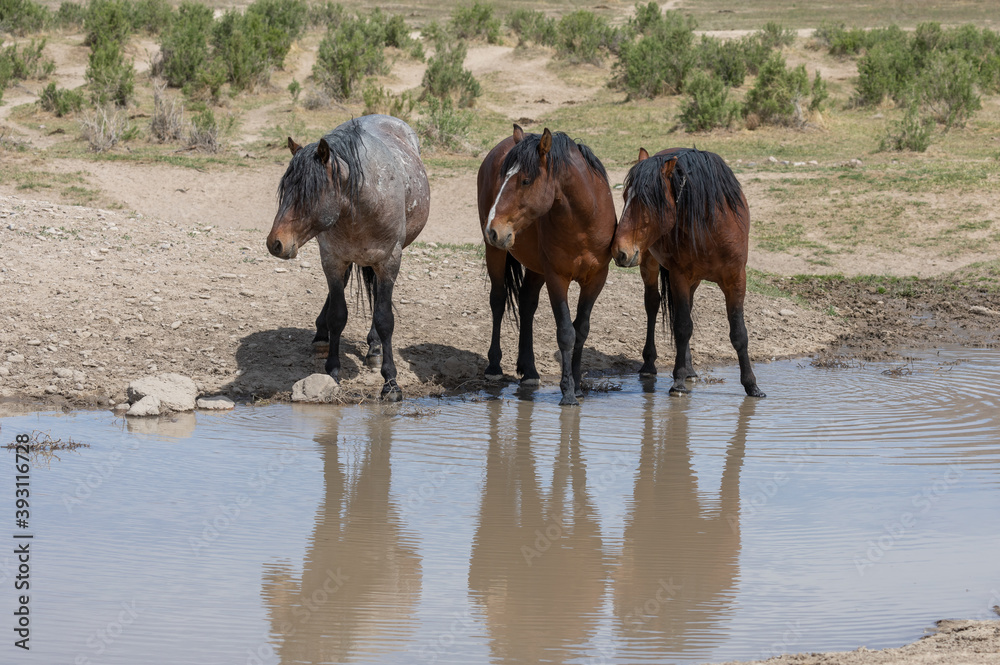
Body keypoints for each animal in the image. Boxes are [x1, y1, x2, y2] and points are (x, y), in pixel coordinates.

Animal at [266, 114, 430, 401]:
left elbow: (385, 319)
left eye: (309, 193)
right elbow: (337, 315)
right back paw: (322, 336)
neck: (360, 205)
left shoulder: (389, 262)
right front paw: (332, 371)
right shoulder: (332, 260)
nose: (276, 243)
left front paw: (390, 382)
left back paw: (374, 349)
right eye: (284, 190)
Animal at [478, 124, 617, 406]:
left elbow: (581, 330)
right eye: (504, 179)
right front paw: (567, 392)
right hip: (495, 252)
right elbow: (566, 332)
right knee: (498, 299)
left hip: (535, 267)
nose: (493, 229)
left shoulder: (596, 278)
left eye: (525, 180)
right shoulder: (557, 277)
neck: (584, 222)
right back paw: (494, 367)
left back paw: (529, 370)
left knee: (527, 303)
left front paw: (577, 387)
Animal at [611, 147, 766, 398]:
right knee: (653, 304)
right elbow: (682, 327)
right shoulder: (679, 277)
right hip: (650, 264)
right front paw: (678, 381)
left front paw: (752, 385)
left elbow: (739, 333)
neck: (711, 228)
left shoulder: (736, 280)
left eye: (647, 201)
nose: (619, 251)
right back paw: (650, 364)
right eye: (625, 196)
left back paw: (690, 368)